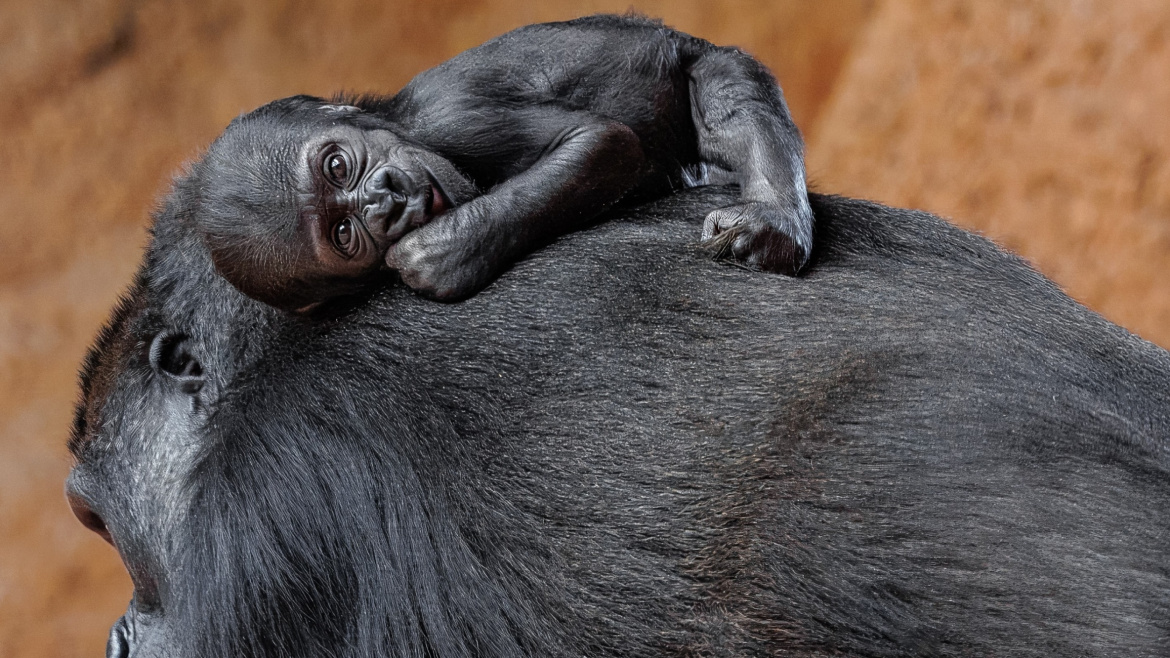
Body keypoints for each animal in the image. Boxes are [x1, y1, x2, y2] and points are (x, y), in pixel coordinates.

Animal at [191, 14, 814, 311]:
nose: (386, 198)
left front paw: (442, 254)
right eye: (344, 233)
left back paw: (773, 222)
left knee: (731, 103)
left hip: (702, 56)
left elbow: (601, 140)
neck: (398, 120)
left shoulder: (454, 115)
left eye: (338, 167)